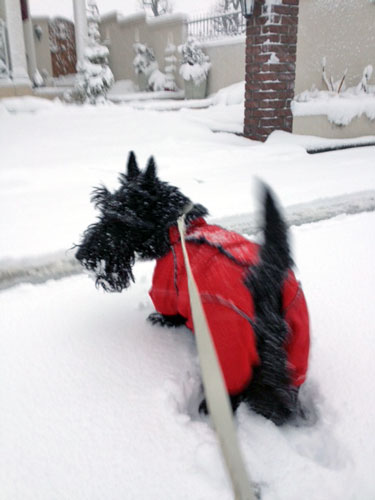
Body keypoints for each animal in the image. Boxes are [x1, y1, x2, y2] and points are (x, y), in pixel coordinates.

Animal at [76, 152, 312, 426]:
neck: (177, 227)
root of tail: (267, 282)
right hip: (295, 350)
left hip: (229, 350)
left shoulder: (166, 289)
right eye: (103, 209)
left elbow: (170, 313)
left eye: (121, 219)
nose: (82, 256)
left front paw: (162, 320)